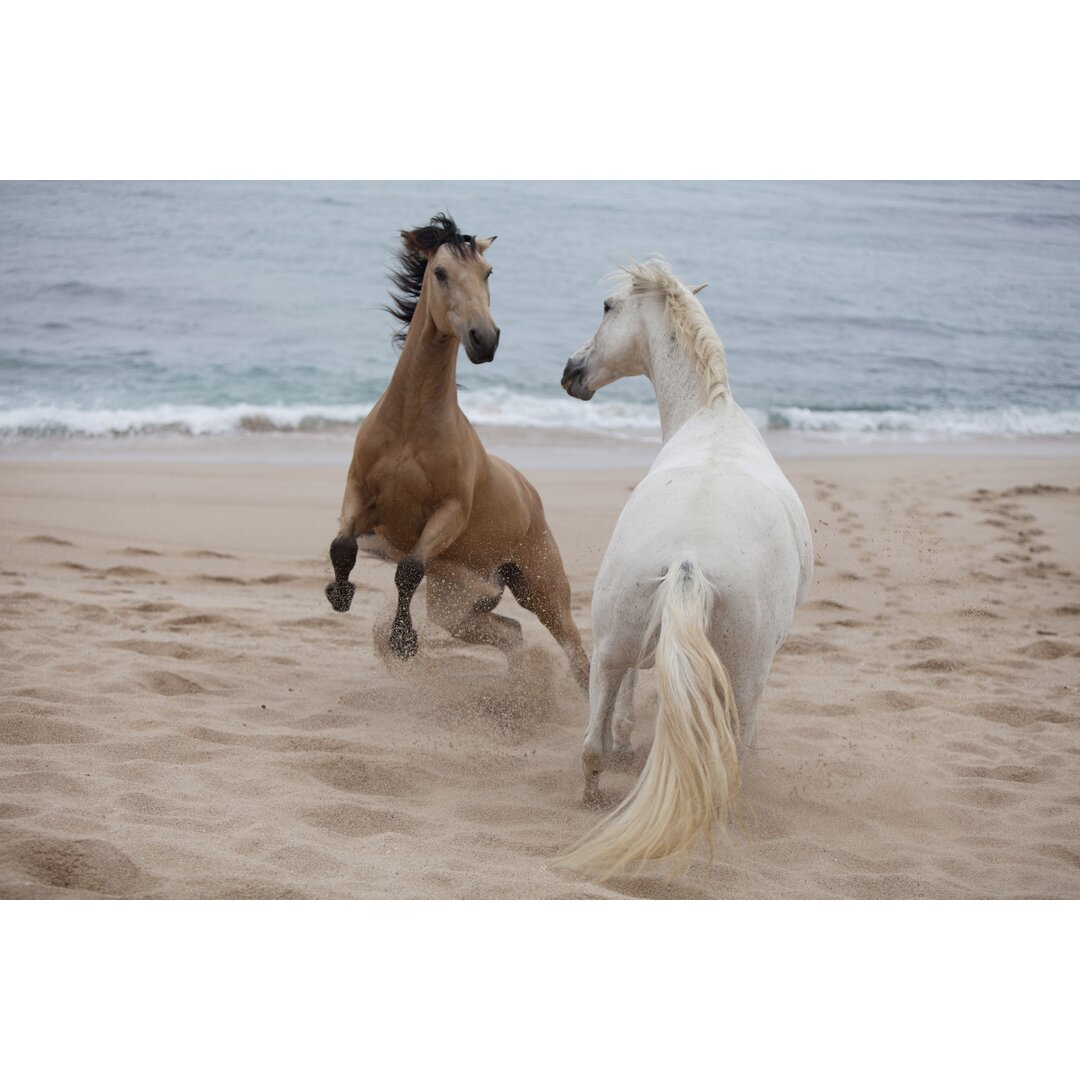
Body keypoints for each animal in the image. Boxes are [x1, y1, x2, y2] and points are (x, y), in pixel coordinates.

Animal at [324, 216, 591, 691]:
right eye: (440, 272)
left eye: (488, 273)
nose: (485, 338)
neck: (410, 428)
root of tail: (528, 492)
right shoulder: (359, 493)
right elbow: (343, 547)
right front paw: (339, 593)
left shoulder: (447, 513)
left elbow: (408, 570)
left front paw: (403, 641)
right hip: (459, 605)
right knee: (511, 632)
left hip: (541, 588)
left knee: (574, 648)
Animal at [557, 259, 812, 876]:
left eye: (607, 307)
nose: (571, 370)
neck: (712, 417)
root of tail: (688, 562)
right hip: (738, 680)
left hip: (612, 647)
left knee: (593, 745)